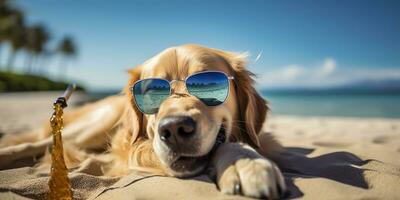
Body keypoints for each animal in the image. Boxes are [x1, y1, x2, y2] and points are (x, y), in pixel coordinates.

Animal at [1, 44, 286, 199]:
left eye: (207, 83)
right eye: (150, 90)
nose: (175, 129)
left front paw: (245, 161)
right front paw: (244, 163)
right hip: (92, 127)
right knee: (38, 144)